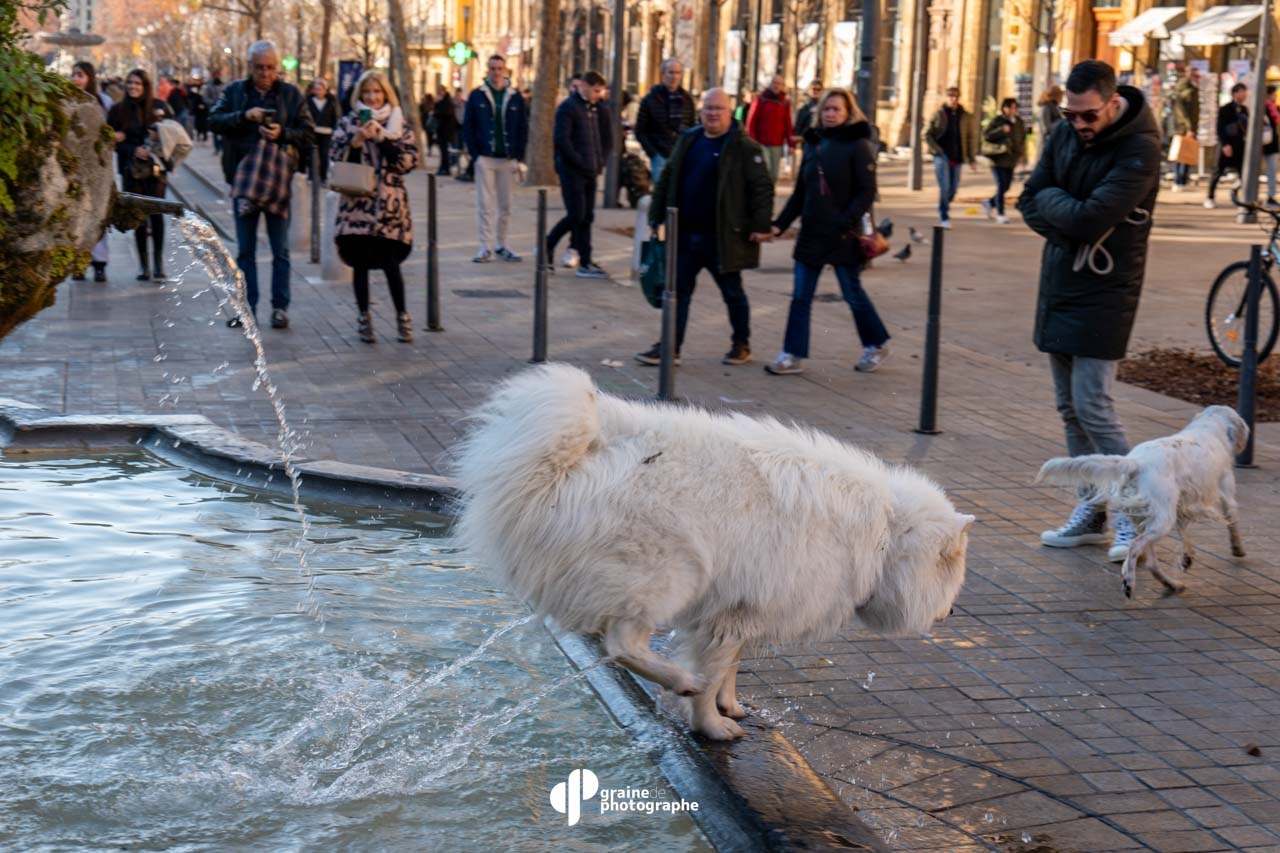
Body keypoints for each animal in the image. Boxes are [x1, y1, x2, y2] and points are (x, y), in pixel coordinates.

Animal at [450, 363, 967, 737]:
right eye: (954, 578)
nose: (951, 614)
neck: (886, 536)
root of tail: (585, 450)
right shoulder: (735, 613)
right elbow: (715, 671)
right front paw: (712, 726)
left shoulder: (735, 608)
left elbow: (731, 668)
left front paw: (729, 707)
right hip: (668, 573)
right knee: (622, 643)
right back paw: (677, 679)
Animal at [1034, 404, 1244, 596]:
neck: (1208, 426)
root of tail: (1138, 462)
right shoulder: (1226, 494)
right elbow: (1233, 521)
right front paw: (1238, 549)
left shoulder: (1182, 506)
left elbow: (1184, 534)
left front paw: (1187, 557)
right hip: (1161, 521)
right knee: (1135, 547)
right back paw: (1129, 581)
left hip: (1150, 519)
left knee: (1151, 563)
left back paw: (1172, 584)